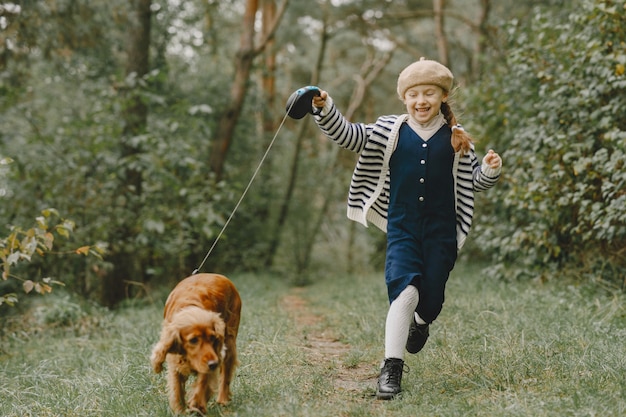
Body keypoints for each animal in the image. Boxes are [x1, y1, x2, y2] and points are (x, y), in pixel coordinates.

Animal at [149, 272, 241, 412]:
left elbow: (203, 381)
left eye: (212, 338)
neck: (189, 307)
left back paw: (223, 400)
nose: (214, 364)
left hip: (229, 339)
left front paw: (196, 404)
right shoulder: (175, 362)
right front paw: (180, 411)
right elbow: (177, 389)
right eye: (193, 340)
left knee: (226, 373)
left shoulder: (210, 358)